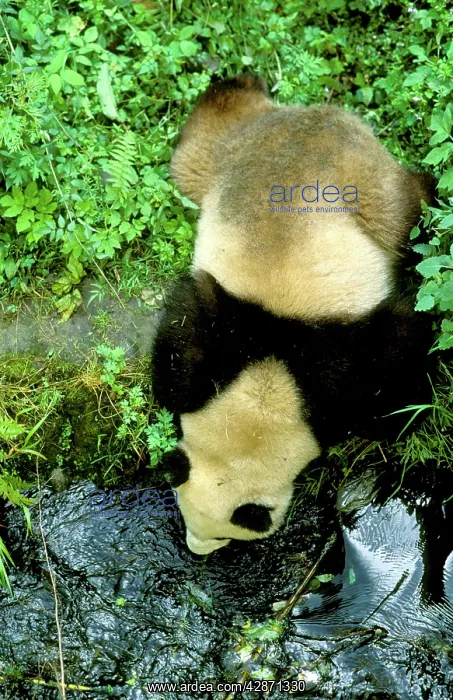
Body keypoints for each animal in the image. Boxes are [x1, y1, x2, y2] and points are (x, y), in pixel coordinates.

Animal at [151, 74, 435, 556]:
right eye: (187, 515)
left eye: (224, 537)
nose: (196, 550)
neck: (269, 385)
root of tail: (316, 115)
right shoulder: (232, 324)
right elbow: (184, 341)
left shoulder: (336, 360)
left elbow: (393, 364)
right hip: (222, 161)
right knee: (201, 143)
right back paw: (238, 84)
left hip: (373, 194)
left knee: (409, 209)